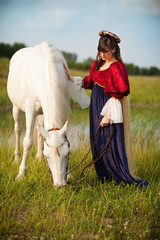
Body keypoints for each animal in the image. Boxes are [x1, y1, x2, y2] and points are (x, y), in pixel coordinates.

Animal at [7, 42, 72, 187]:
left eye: (67, 154)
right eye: (48, 156)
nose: (60, 184)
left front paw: (70, 174)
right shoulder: (30, 109)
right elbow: (27, 141)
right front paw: (21, 173)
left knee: (39, 131)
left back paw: (38, 158)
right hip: (16, 107)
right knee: (18, 129)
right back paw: (16, 158)